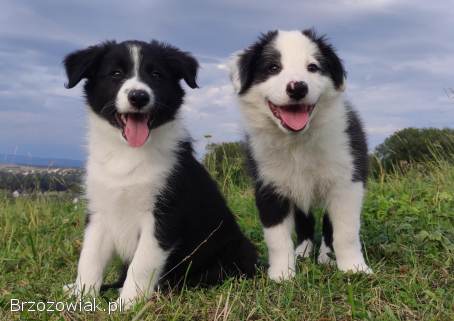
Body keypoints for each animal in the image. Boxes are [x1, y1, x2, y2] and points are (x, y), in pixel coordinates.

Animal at [62, 40, 258, 308]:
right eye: (115, 73)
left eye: (156, 75)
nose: (138, 96)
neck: (128, 154)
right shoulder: (99, 211)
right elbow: (89, 257)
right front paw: (82, 294)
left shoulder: (164, 215)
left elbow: (142, 264)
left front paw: (127, 303)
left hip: (236, 252)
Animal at [229, 29, 370, 280]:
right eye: (273, 67)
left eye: (312, 67)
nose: (297, 87)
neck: (297, 141)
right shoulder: (269, 186)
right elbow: (276, 237)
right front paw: (281, 274)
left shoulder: (347, 181)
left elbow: (345, 231)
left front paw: (354, 268)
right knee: (305, 222)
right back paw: (303, 252)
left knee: (327, 225)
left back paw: (326, 256)